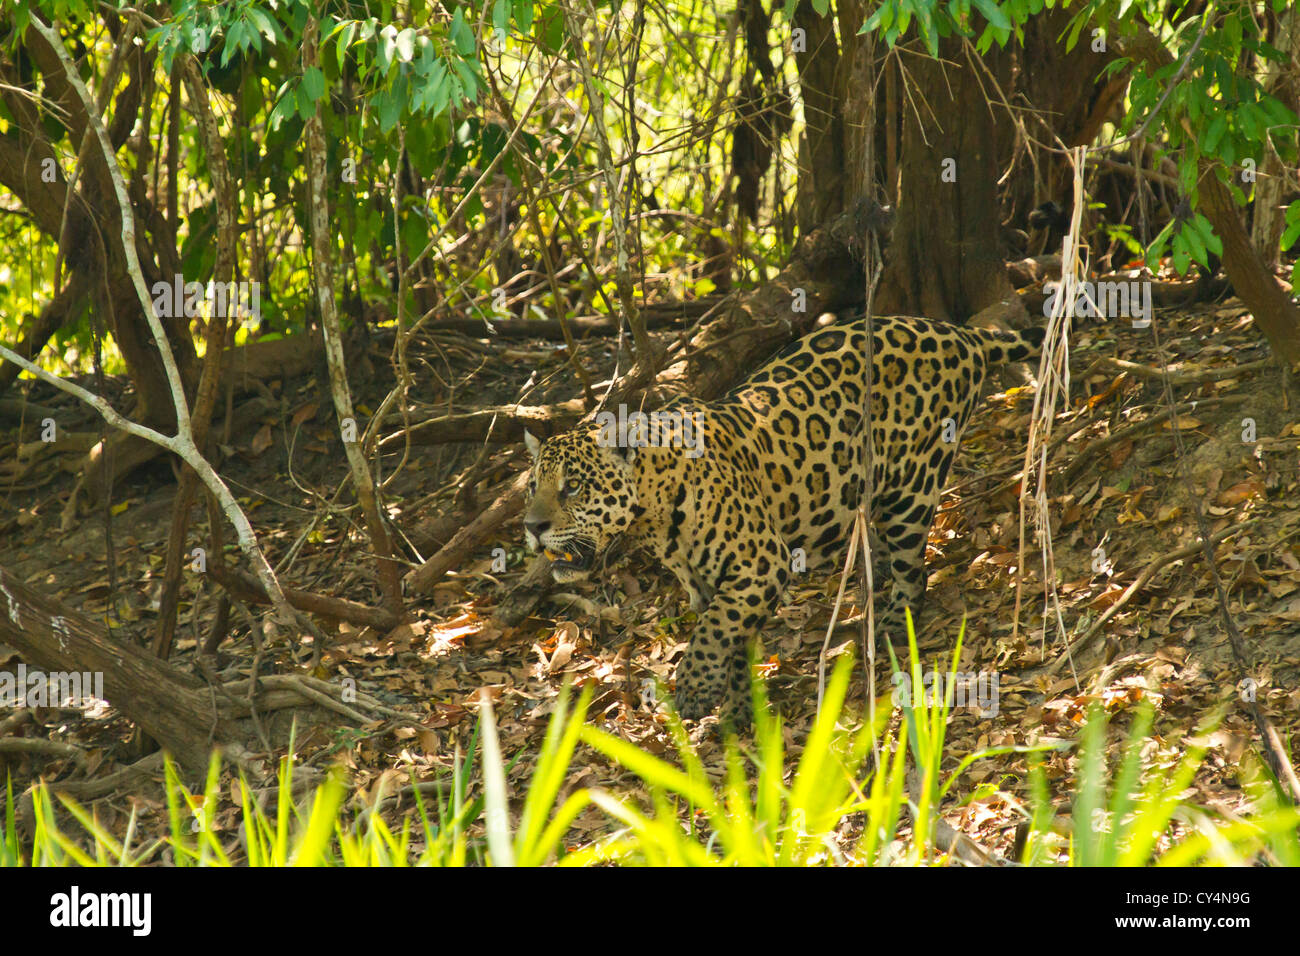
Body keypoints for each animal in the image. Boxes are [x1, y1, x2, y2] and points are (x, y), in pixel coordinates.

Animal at [523, 312, 1044, 726]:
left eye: (573, 485)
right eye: (532, 486)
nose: (531, 527)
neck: (655, 510)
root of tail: (958, 332)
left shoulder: (760, 563)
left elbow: (712, 631)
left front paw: (693, 689)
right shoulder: (711, 584)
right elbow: (728, 636)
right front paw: (736, 710)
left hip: (911, 488)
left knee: (914, 571)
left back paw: (893, 622)